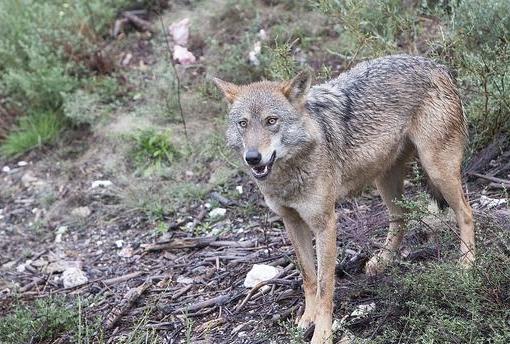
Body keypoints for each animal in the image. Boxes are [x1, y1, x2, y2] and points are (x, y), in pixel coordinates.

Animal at [212, 55, 474, 344]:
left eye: (271, 120)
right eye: (243, 123)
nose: (253, 157)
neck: (289, 174)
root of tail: (437, 64)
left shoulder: (325, 223)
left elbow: (325, 285)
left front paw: (322, 334)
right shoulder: (292, 222)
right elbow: (308, 277)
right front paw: (307, 320)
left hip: (437, 170)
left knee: (466, 213)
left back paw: (467, 264)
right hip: (385, 180)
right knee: (400, 218)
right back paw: (383, 262)